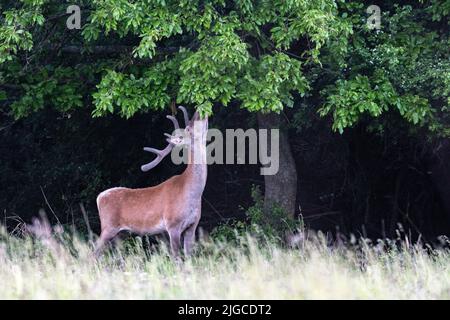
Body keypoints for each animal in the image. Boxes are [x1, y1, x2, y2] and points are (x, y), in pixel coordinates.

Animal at [95, 107, 209, 258]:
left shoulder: (192, 226)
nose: (199, 111)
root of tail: (99, 197)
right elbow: (176, 258)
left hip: (121, 233)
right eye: (189, 129)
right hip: (108, 226)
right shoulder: (172, 224)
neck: (191, 194)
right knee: (93, 254)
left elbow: (189, 257)